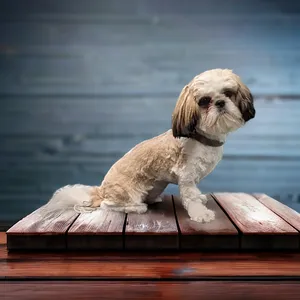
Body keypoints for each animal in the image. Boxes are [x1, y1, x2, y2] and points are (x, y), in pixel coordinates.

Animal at [47, 68, 255, 223]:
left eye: (229, 93)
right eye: (204, 101)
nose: (220, 102)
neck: (202, 138)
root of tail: (100, 191)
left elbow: (195, 192)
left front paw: (201, 199)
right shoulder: (186, 176)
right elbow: (190, 196)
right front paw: (201, 214)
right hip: (127, 193)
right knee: (108, 205)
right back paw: (137, 207)